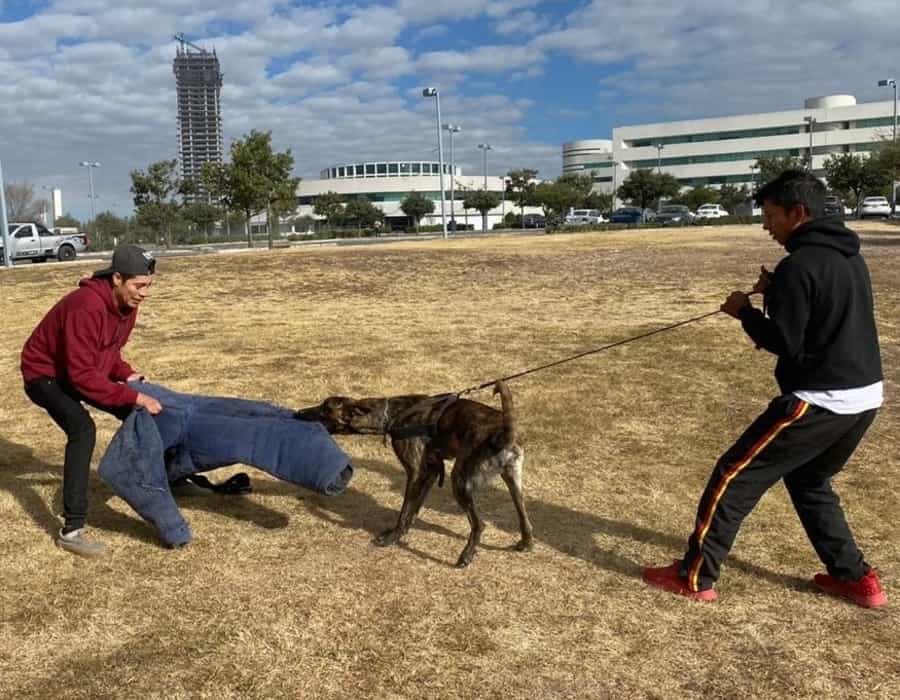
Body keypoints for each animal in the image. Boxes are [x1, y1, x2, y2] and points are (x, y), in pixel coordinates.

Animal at [296, 382, 536, 568]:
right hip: (512, 481)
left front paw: (392, 537)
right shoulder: (431, 471)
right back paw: (526, 542)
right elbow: (413, 509)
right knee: (523, 515)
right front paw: (402, 533)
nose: (298, 413)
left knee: (479, 524)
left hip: (459, 481)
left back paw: (466, 556)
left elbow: (405, 510)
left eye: (325, 409)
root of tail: (504, 433)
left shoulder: (415, 472)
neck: (391, 414)